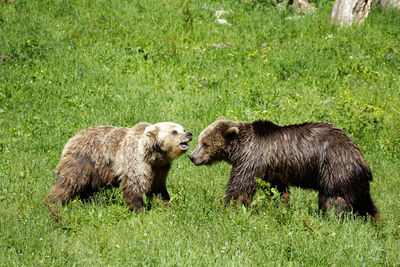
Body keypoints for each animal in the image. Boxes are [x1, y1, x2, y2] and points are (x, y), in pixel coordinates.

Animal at [46, 123, 193, 214]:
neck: (154, 154)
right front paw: (138, 209)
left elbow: (158, 187)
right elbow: (134, 185)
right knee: (68, 183)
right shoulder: (136, 159)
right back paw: (53, 203)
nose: (189, 134)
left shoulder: (160, 168)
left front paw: (166, 204)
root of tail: (73, 138)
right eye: (174, 132)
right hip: (85, 161)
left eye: (183, 129)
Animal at [189, 117, 380, 222]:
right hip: (355, 181)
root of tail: (360, 158)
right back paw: (374, 221)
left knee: (333, 200)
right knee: (365, 203)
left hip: (334, 169)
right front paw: (280, 205)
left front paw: (228, 207)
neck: (239, 149)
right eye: (199, 140)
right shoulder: (272, 169)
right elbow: (278, 190)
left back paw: (332, 218)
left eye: (205, 144)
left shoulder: (252, 160)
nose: (192, 157)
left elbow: (240, 186)